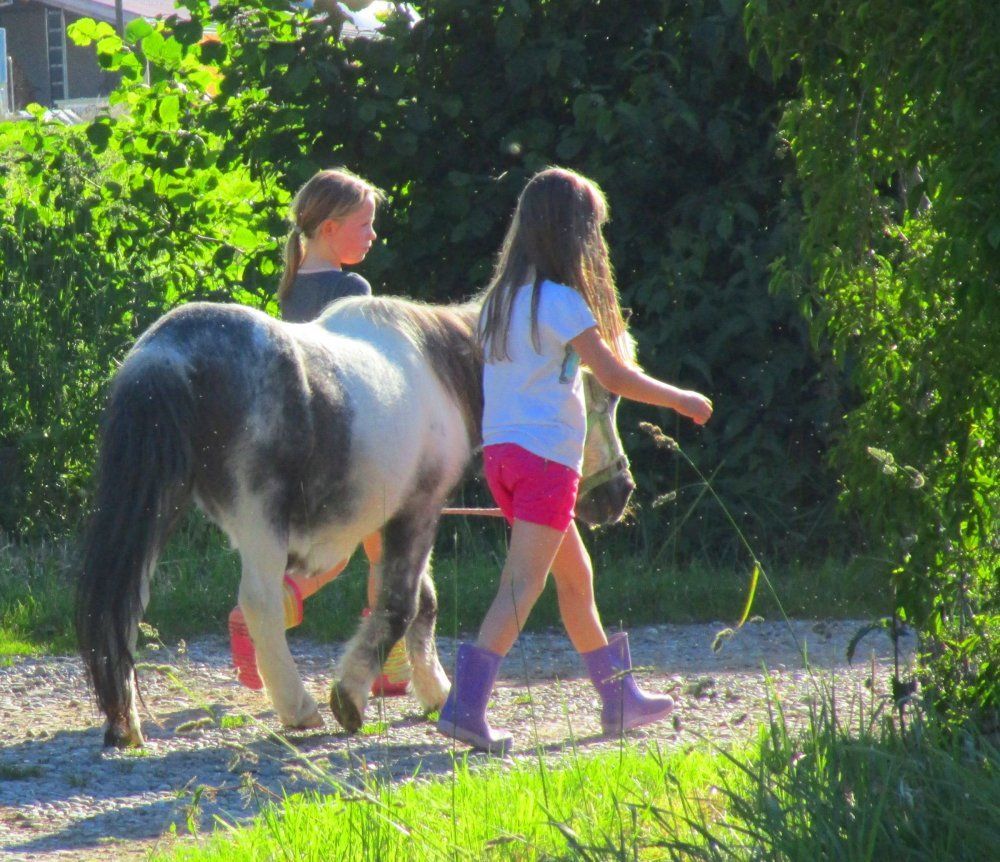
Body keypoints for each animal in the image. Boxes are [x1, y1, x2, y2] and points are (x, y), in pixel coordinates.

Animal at [75, 295, 636, 747]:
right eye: (600, 397)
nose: (619, 493)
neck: (440, 368)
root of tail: (164, 354)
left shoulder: (382, 522)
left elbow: (421, 603)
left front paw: (435, 691)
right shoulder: (419, 510)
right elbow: (400, 606)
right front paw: (350, 698)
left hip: (157, 512)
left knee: (124, 609)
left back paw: (126, 724)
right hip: (260, 522)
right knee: (258, 603)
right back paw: (298, 708)